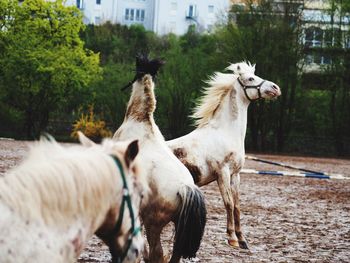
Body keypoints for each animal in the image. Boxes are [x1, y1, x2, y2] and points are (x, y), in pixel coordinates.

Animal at [113, 56, 206, 263]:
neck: (139, 119)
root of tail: (184, 187)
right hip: (176, 226)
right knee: (174, 255)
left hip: (154, 224)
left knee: (157, 253)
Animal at [167, 62, 282, 250]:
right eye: (250, 78)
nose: (275, 88)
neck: (225, 132)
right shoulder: (223, 173)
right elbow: (228, 203)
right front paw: (232, 239)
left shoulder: (236, 175)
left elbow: (237, 206)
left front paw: (242, 240)